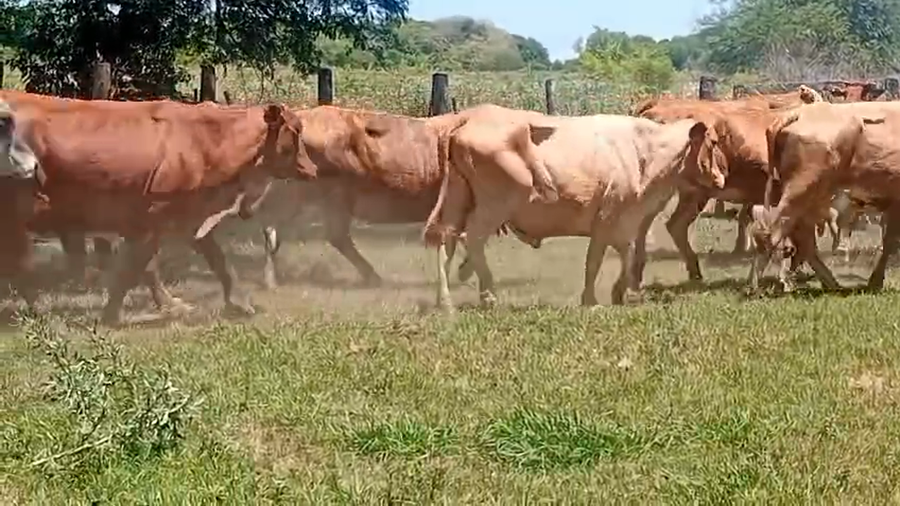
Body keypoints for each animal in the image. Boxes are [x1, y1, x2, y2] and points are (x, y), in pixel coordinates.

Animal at [4, 93, 316, 325]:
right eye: (296, 132)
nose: (313, 169)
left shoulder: (185, 217)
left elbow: (216, 260)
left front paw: (236, 304)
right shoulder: (155, 216)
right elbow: (135, 269)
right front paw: (112, 315)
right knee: (20, 266)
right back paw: (40, 311)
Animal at [422, 108, 704, 311]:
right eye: (709, 143)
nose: (714, 178)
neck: (642, 151)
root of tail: (468, 119)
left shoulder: (622, 223)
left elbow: (629, 254)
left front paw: (619, 292)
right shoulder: (606, 219)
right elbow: (594, 261)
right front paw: (591, 301)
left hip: (459, 200)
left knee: (448, 240)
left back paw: (445, 301)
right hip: (496, 205)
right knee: (472, 238)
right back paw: (488, 295)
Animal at [750, 101, 900, 292]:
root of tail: (797, 114)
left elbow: (890, 241)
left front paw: (876, 282)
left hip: (809, 197)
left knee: (802, 240)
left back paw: (830, 283)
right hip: (801, 190)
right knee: (773, 234)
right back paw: (760, 287)